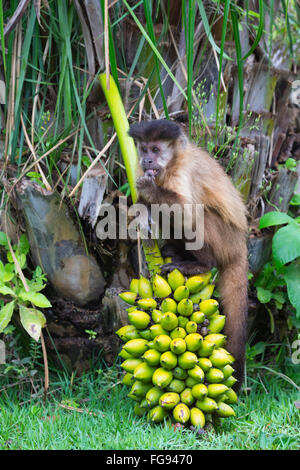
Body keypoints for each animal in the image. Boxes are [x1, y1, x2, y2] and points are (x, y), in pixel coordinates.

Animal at [129, 119, 248, 392]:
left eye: (156, 150)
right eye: (144, 149)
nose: (147, 160)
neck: (170, 165)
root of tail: (241, 244)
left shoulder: (182, 173)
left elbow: (187, 212)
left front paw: (150, 189)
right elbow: (149, 206)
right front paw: (141, 214)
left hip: (227, 239)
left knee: (198, 215)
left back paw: (200, 265)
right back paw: (175, 251)